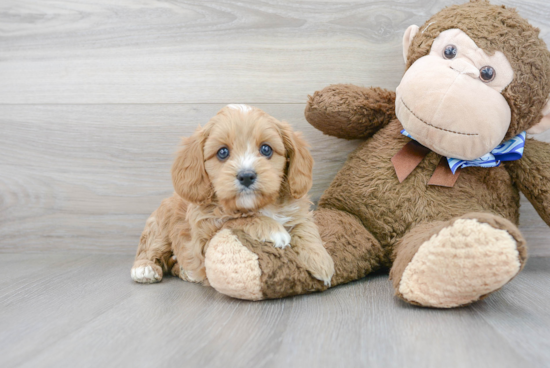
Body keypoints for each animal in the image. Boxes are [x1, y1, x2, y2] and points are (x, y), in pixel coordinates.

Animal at [133, 105, 336, 286]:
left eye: (266, 149)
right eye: (223, 152)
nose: (246, 176)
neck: (259, 206)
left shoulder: (297, 211)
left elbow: (306, 229)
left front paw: (321, 260)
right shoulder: (204, 240)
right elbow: (236, 220)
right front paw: (274, 230)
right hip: (160, 228)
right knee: (149, 248)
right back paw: (144, 268)